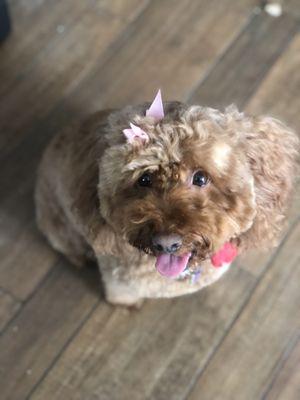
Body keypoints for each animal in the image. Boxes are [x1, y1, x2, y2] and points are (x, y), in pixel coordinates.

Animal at [35, 91, 298, 306]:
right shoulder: (117, 281)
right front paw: (127, 305)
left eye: (201, 178)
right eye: (144, 179)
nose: (166, 243)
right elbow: (121, 296)